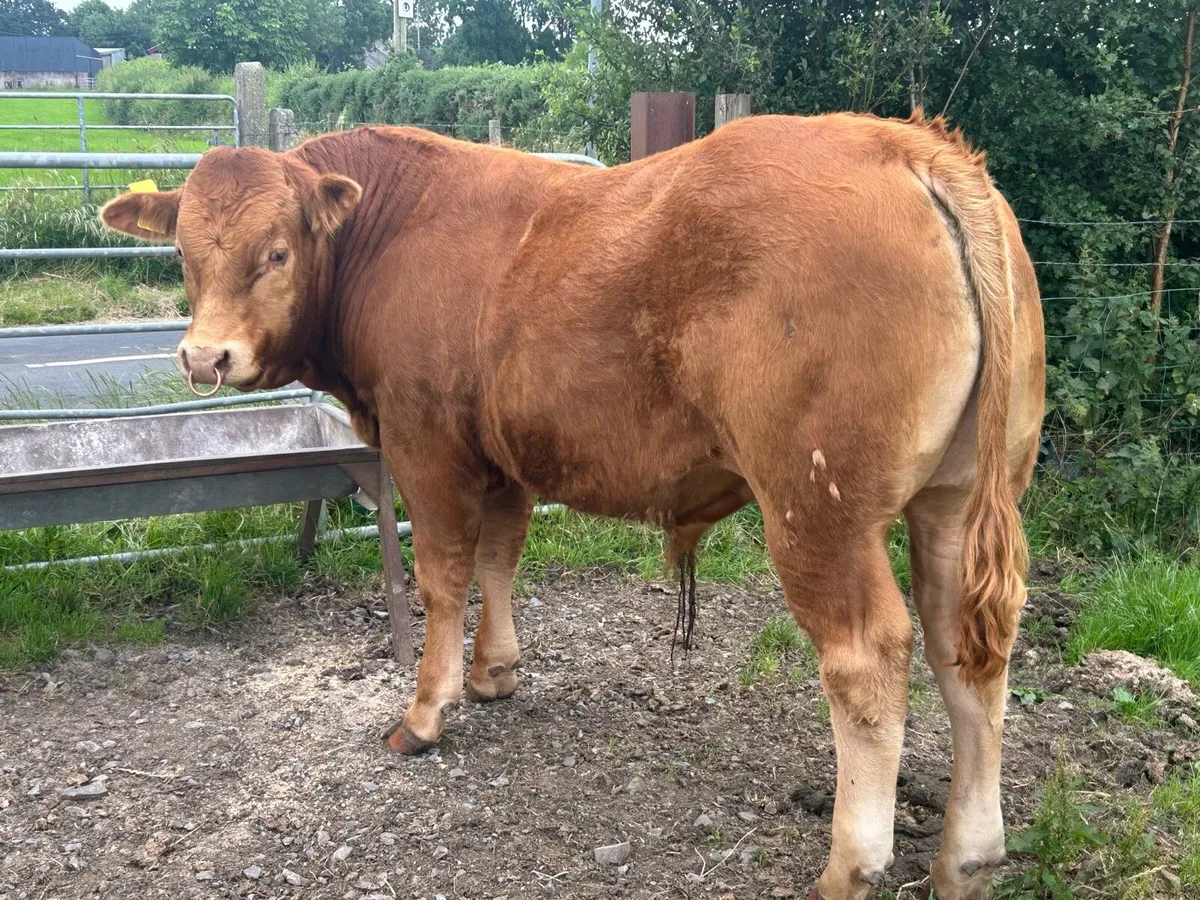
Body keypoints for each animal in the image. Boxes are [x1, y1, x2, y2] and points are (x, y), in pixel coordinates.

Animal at [100, 110, 1045, 900]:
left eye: (277, 252)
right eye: (183, 254)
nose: (204, 357)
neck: (391, 233)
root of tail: (904, 143)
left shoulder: (425, 445)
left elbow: (443, 576)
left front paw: (427, 711)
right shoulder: (506, 454)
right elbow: (499, 558)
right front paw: (496, 673)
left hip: (816, 510)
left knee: (867, 657)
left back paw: (850, 866)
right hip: (958, 500)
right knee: (966, 649)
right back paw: (966, 857)